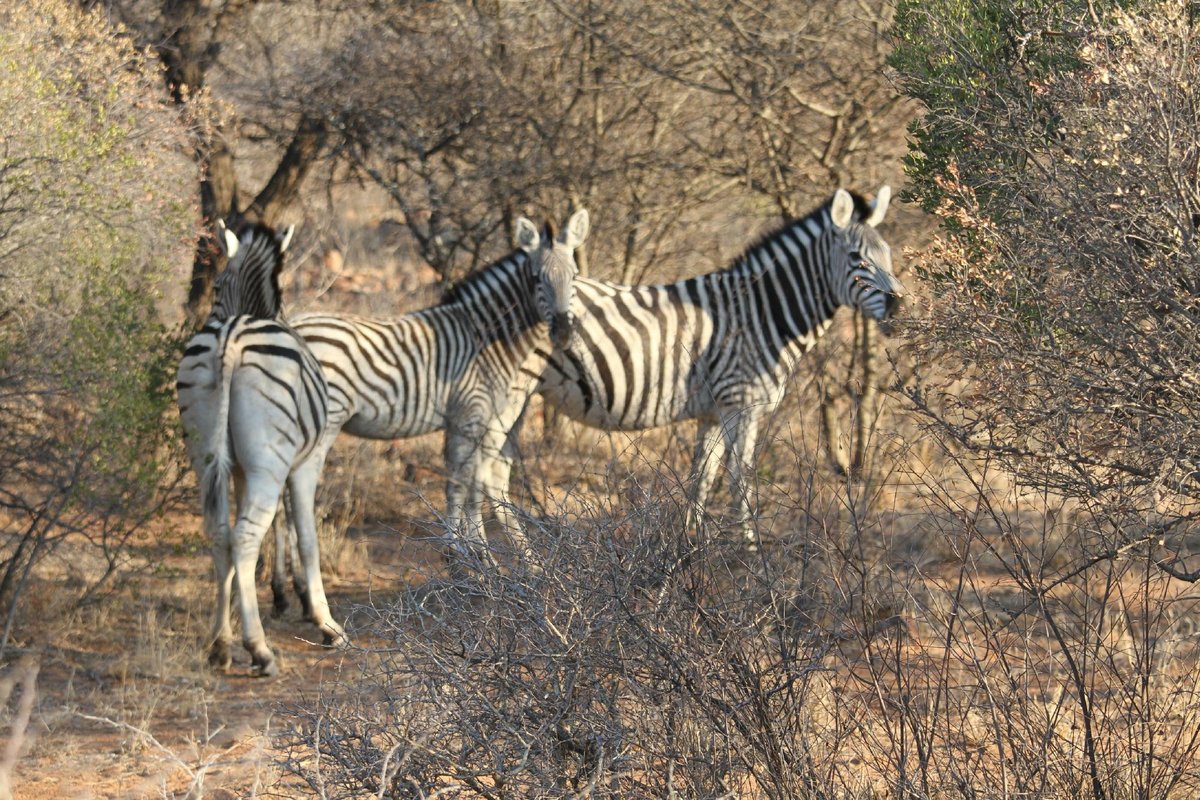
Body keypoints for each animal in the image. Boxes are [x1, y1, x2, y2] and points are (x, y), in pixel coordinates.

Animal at [177, 221, 348, 681]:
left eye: (218, 285)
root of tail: (230, 339)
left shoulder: (237, 469)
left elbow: (263, 534)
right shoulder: (305, 463)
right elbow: (305, 535)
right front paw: (325, 622)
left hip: (207, 456)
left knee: (222, 533)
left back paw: (220, 645)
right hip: (269, 462)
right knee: (246, 535)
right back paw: (259, 649)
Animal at [272, 211, 590, 594]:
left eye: (574, 275)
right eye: (536, 278)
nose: (564, 333)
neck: (485, 339)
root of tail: (290, 323)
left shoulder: (465, 419)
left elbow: (466, 482)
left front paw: (473, 558)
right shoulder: (472, 414)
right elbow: (461, 484)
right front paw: (465, 561)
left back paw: (285, 585)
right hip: (320, 420)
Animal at [496, 185, 902, 546]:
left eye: (888, 254)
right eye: (857, 257)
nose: (898, 305)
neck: (760, 313)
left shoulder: (713, 410)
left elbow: (701, 477)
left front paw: (692, 546)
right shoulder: (741, 402)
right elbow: (740, 477)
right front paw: (748, 552)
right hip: (509, 393)